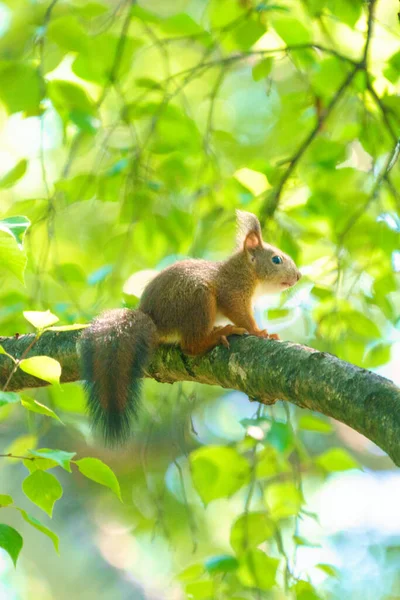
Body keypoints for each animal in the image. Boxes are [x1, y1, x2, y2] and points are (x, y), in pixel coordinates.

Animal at [80, 211, 300, 446]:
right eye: (276, 259)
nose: (298, 276)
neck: (245, 271)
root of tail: (152, 319)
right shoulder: (233, 292)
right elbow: (241, 316)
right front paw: (259, 331)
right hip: (198, 300)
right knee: (191, 345)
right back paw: (220, 334)